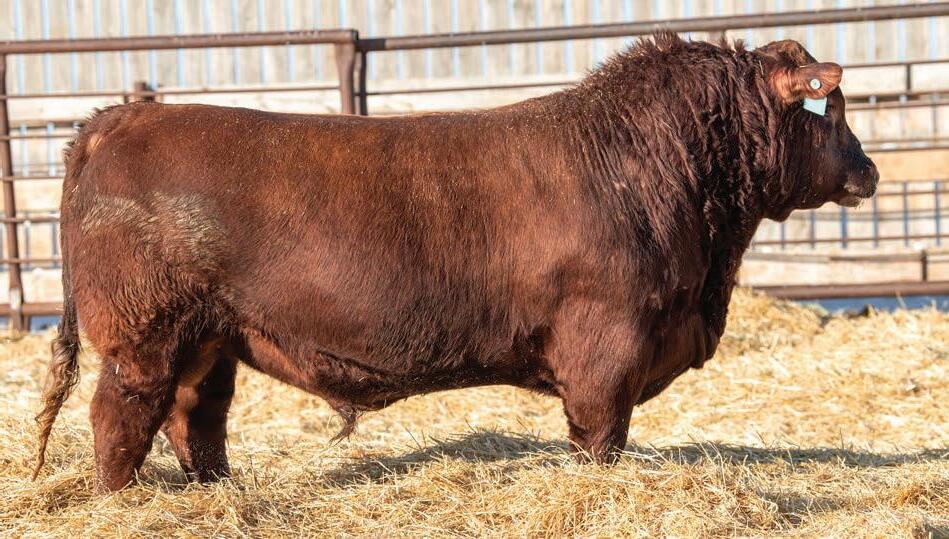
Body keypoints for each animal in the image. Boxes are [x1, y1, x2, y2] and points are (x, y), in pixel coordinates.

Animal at [33, 34, 878, 491]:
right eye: (822, 105)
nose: (867, 170)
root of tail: (114, 121)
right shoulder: (607, 346)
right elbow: (600, 436)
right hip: (144, 331)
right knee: (121, 415)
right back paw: (121, 498)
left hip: (209, 337)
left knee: (194, 416)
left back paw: (216, 487)